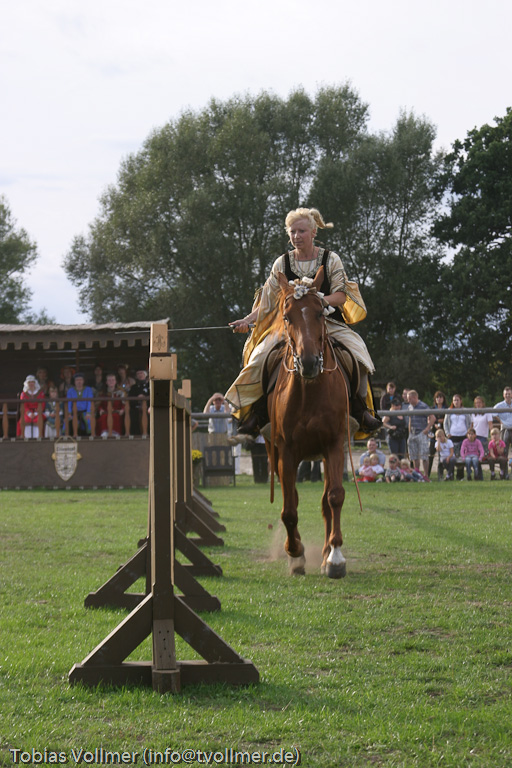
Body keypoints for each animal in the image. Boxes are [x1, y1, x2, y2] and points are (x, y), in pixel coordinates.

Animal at [267, 266, 349, 579]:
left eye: (318, 313)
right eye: (287, 316)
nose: (310, 362)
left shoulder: (334, 445)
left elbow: (335, 497)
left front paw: (335, 557)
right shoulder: (286, 452)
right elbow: (289, 508)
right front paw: (295, 554)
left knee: (327, 500)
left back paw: (326, 553)